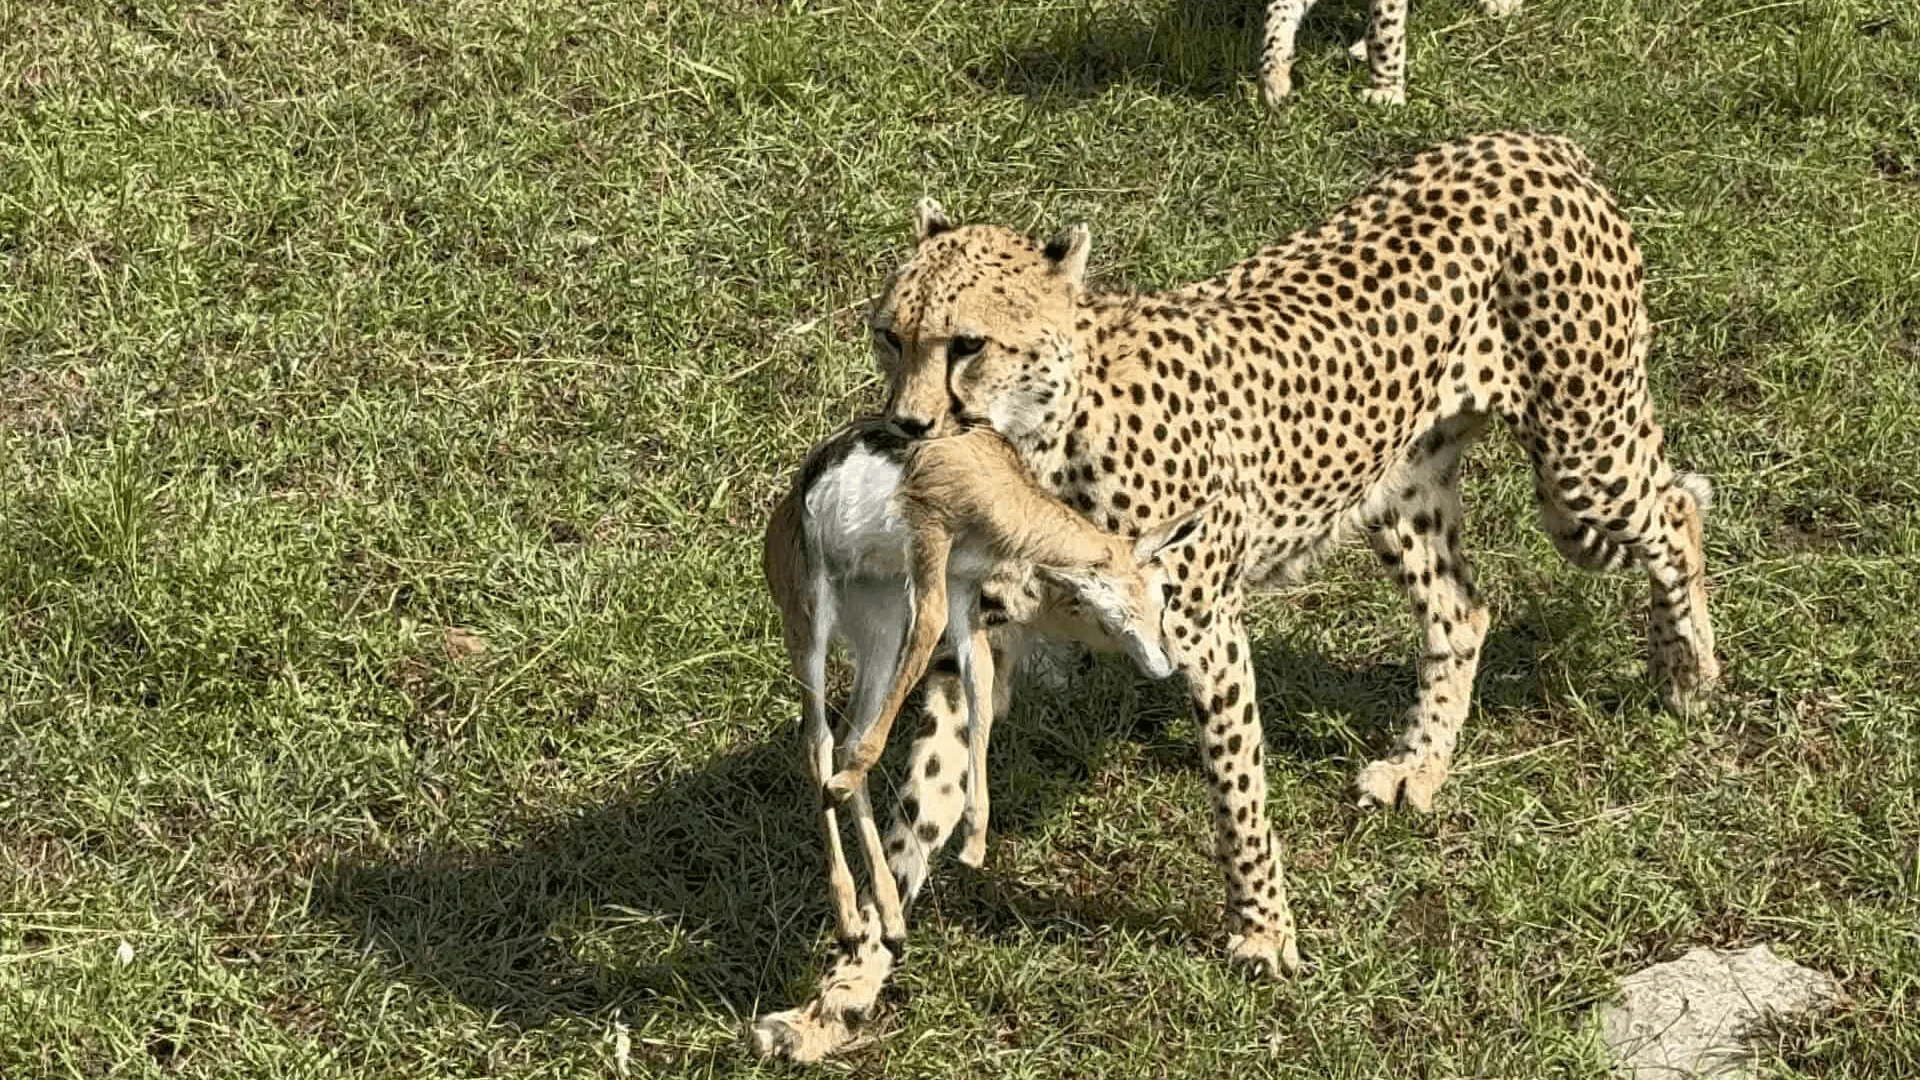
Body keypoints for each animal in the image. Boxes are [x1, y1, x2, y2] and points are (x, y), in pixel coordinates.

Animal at [869, 131, 1719, 981]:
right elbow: (922, 793)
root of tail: (1530, 142)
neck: (1036, 448)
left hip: (1583, 454)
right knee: (1463, 611)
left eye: (968, 345)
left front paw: (1262, 933)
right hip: (1403, 487)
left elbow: (1237, 794)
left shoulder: (1204, 635)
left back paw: (1685, 673)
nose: (908, 425)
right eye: (889, 337)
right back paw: (1421, 765)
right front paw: (856, 969)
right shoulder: (976, 639)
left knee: (1676, 513)